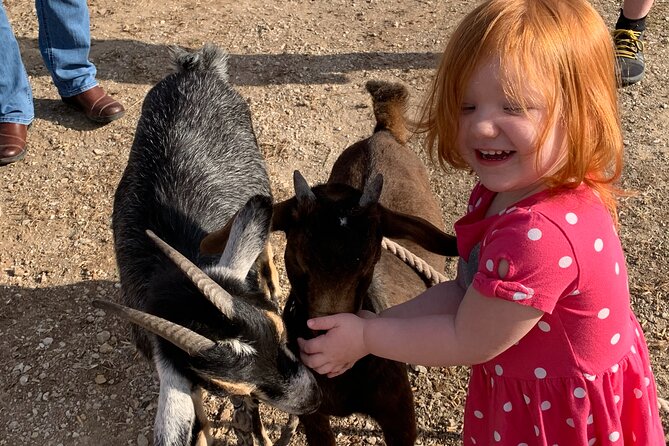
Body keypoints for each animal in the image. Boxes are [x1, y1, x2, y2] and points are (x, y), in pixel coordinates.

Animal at [202, 80, 458, 446]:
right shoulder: (314, 412)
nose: (326, 336)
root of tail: (382, 132)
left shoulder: (399, 413)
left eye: (369, 260)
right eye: (299, 259)